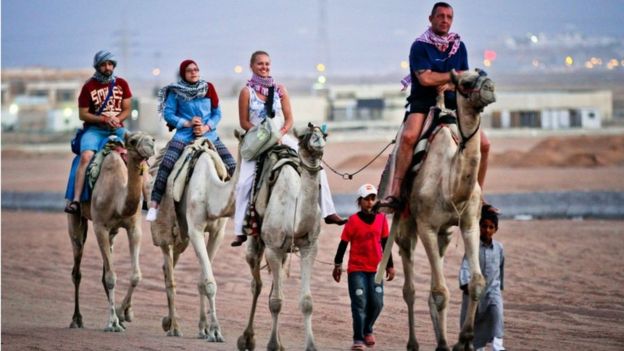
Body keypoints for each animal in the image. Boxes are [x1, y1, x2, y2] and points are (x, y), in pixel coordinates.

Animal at [67, 131, 156, 332]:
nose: (151, 145)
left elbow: (135, 275)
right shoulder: (100, 227)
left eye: (152, 138)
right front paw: (112, 323)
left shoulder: (134, 227)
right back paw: (76, 319)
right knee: (77, 271)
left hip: (113, 233)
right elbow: (110, 277)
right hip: (75, 221)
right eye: (133, 141)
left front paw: (124, 314)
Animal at [149, 138, 241, 344]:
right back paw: (174, 327)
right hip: (166, 230)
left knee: (168, 267)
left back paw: (168, 322)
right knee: (170, 274)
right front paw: (215, 331)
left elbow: (202, 281)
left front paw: (204, 329)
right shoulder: (195, 230)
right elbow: (209, 283)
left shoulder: (217, 232)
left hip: (181, 237)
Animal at [238, 123, 326, 351]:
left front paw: (311, 346)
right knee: (257, 284)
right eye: (303, 136)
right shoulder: (273, 248)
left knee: (272, 288)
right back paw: (247, 339)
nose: (318, 141)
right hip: (257, 242)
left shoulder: (309, 247)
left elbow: (306, 302)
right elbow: (275, 302)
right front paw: (271, 345)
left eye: (324, 134)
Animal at [376, 69, 498, 351]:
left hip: (446, 234)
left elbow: (476, 282)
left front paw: (463, 340)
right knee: (410, 289)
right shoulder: (427, 227)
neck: (450, 184)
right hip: (406, 227)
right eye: (465, 82)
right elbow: (440, 292)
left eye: (484, 73)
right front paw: (445, 344)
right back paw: (413, 343)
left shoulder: (468, 223)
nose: (490, 87)